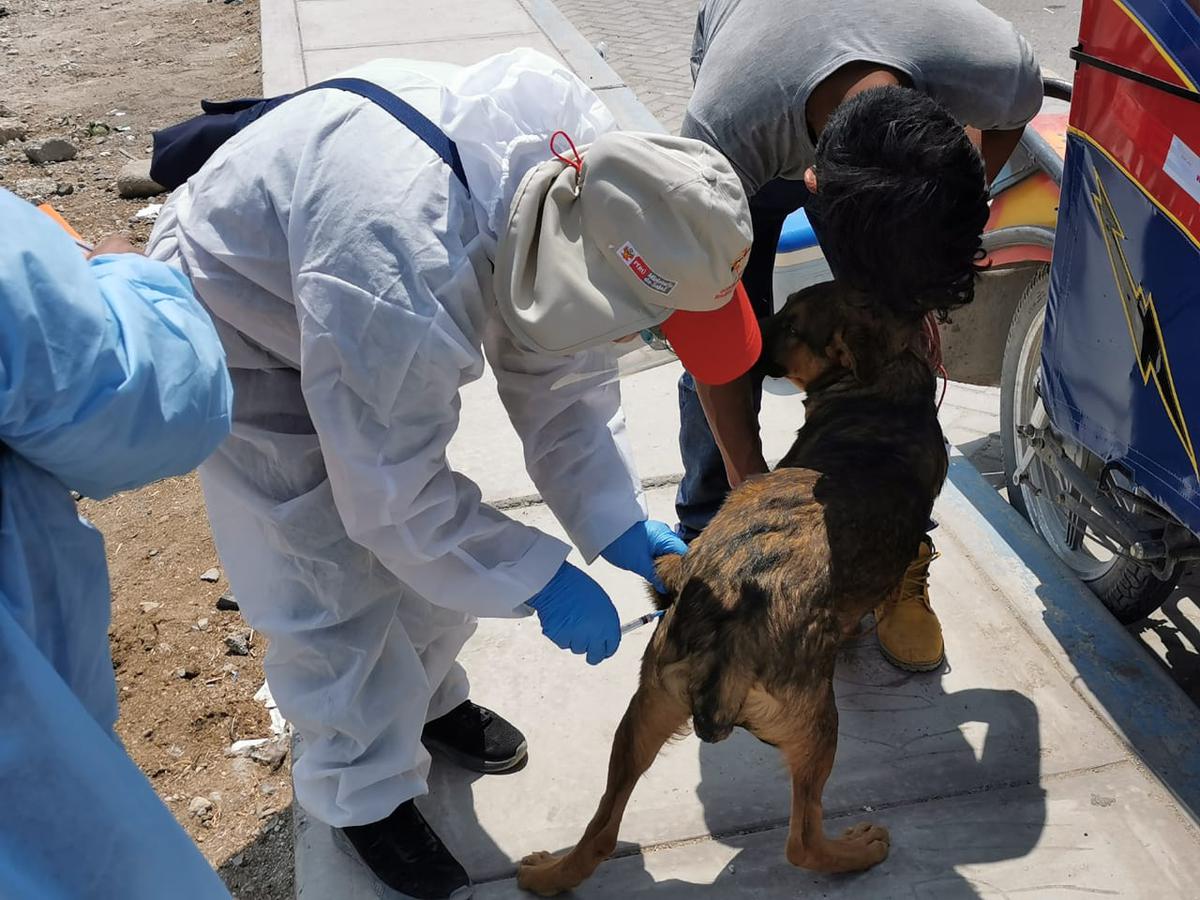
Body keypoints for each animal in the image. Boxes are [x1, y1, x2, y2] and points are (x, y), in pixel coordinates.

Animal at [520, 280, 950, 897]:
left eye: (791, 326)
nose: (749, 347)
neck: (878, 384)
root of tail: (728, 625)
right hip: (816, 726)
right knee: (801, 841)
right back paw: (856, 852)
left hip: (646, 706)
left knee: (601, 831)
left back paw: (549, 874)